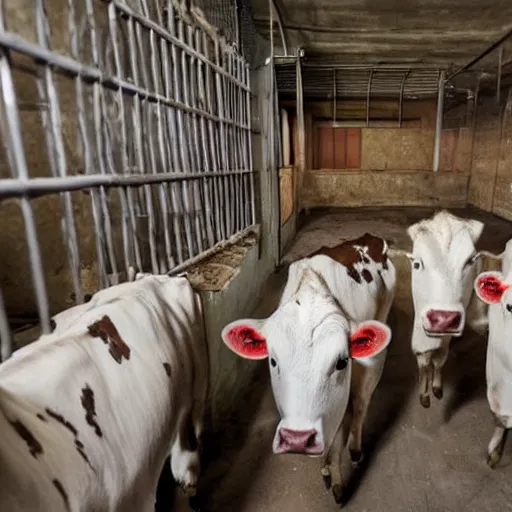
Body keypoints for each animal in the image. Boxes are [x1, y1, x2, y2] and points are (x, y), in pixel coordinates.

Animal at [221, 234, 396, 506]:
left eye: (341, 362)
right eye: (273, 361)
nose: (297, 438)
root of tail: (371, 239)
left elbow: (338, 436)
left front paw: (337, 479)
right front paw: (325, 468)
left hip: (378, 347)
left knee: (362, 401)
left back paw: (356, 449)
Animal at [404, 208, 500, 408]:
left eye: (470, 261)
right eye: (417, 263)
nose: (443, 318)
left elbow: (440, 359)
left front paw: (436, 386)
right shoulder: (421, 331)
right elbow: (424, 361)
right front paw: (424, 392)